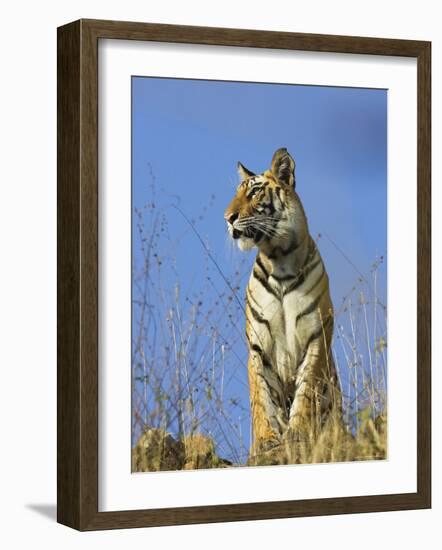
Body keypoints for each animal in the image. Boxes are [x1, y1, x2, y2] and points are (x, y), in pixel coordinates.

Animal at [224, 149, 342, 464]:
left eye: (254, 192)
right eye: (236, 193)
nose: (227, 218)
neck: (280, 258)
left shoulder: (315, 337)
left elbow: (305, 393)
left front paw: (297, 436)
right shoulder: (258, 345)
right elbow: (261, 398)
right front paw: (266, 442)